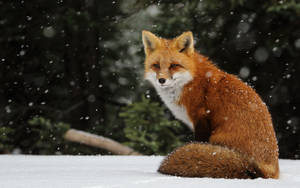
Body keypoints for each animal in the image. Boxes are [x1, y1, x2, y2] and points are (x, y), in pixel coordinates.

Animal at [142, 30, 280, 178]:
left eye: (174, 65)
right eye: (156, 65)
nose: (161, 80)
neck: (189, 82)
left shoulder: (201, 117)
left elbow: (199, 140)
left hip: (217, 137)